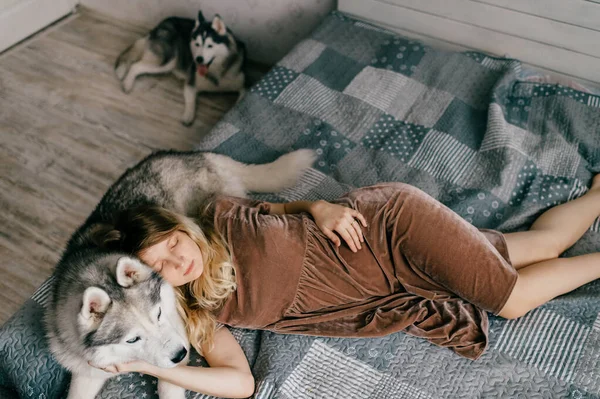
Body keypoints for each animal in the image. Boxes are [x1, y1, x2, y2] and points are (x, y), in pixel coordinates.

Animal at [115, 10, 246, 126]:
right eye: (197, 44)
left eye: (210, 46)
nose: (198, 59)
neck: (216, 71)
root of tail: (162, 24)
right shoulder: (191, 83)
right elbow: (190, 100)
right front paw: (188, 116)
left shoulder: (244, 86)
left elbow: (241, 100)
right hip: (168, 62)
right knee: (136, 66)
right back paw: (127, 84)